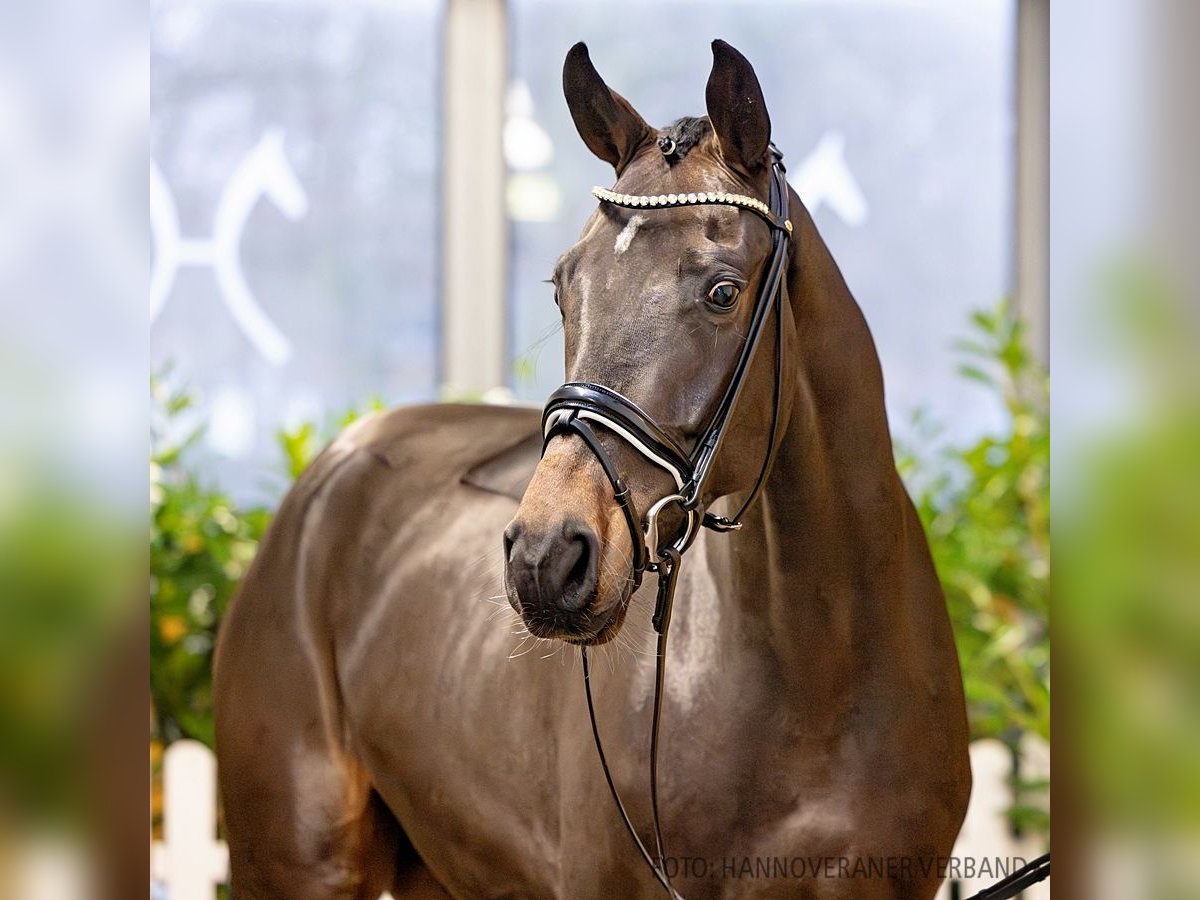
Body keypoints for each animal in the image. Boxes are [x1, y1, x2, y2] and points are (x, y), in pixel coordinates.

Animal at [211, 38, 969, 897]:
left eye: (722, 291)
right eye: (563, 286)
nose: (546, 557)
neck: (822, 668)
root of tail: (329, 472)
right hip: (297, 860)